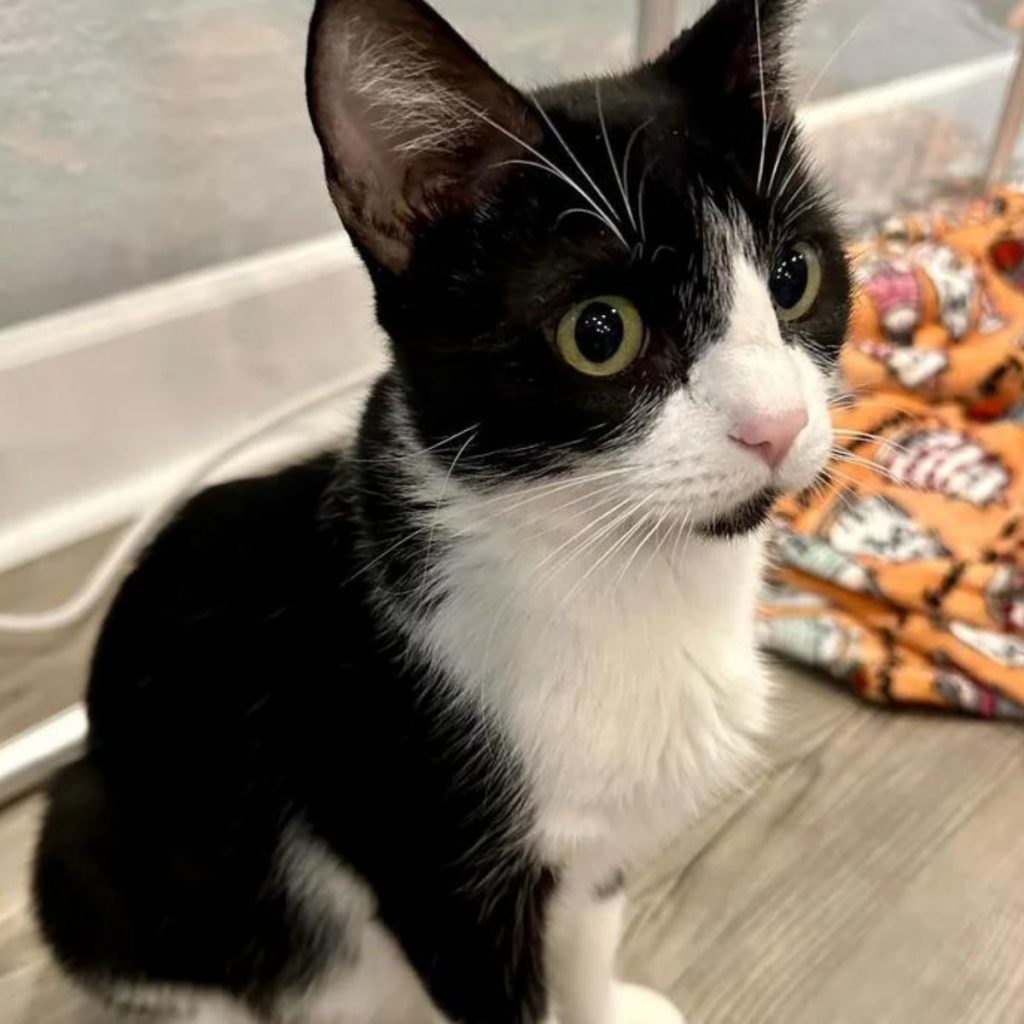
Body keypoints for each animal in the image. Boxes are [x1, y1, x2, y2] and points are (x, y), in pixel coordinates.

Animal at [32, 2, 847, 1024]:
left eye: (793, 275)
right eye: (600, 332)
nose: (778, 425)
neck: (627, 585)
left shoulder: (590, 852)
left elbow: (589, 930)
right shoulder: (437, 871)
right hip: (97, 847)